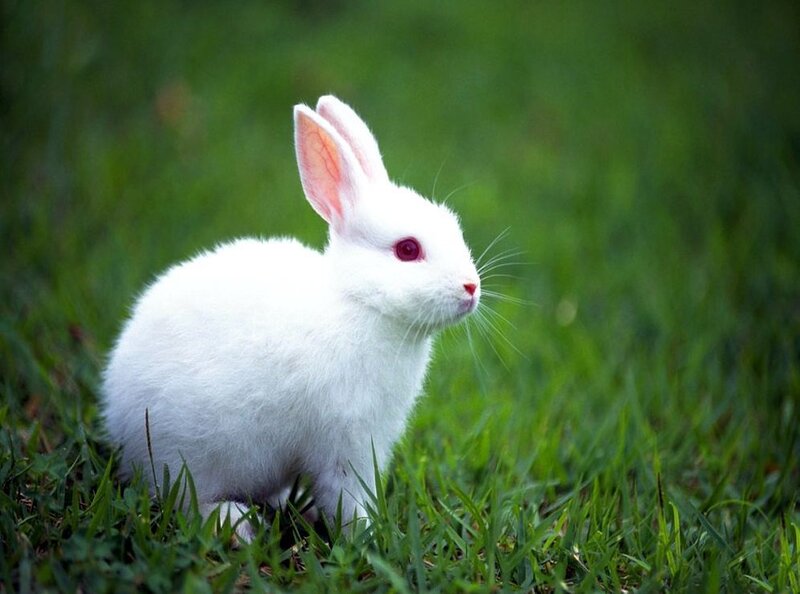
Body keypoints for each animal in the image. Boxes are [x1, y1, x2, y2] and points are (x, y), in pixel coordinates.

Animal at [101, 95, 481, 539]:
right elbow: (347, 496)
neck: (360, 303)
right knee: (185, 500)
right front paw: (367, 535)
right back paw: (237, 524)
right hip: (189, 455)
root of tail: (118, 417)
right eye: (408, 249)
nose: (471, 287)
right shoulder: (347, 442)